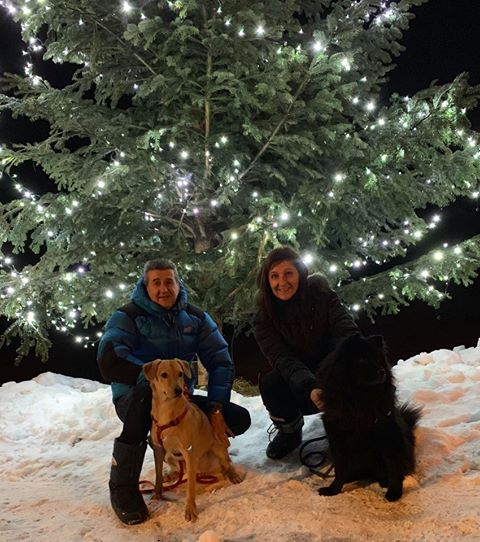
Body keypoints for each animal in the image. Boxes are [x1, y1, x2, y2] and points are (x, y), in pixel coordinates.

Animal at [143, 358, 244, 521]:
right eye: (164, 375)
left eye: (180, 374)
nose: (178, 390)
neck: (167, 412)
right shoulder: (158, 449)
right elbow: (158, 475)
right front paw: (157, 494)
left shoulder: (189, 453)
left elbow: (191, 487)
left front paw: (190, 509)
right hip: (169, 456)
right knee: (180, 470)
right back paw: (171, 475)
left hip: (218, 448)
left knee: (226, 464)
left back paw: (232, 475)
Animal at [316, 334, 421, 502]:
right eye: (363, 360)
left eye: (379, 360)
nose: (382, 372)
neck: (361, 398)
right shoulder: (336, 435)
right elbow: (340, 468)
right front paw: (334, 489)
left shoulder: (388, 434)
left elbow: (393, 466)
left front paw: (394, 492)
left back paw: (384, 481)